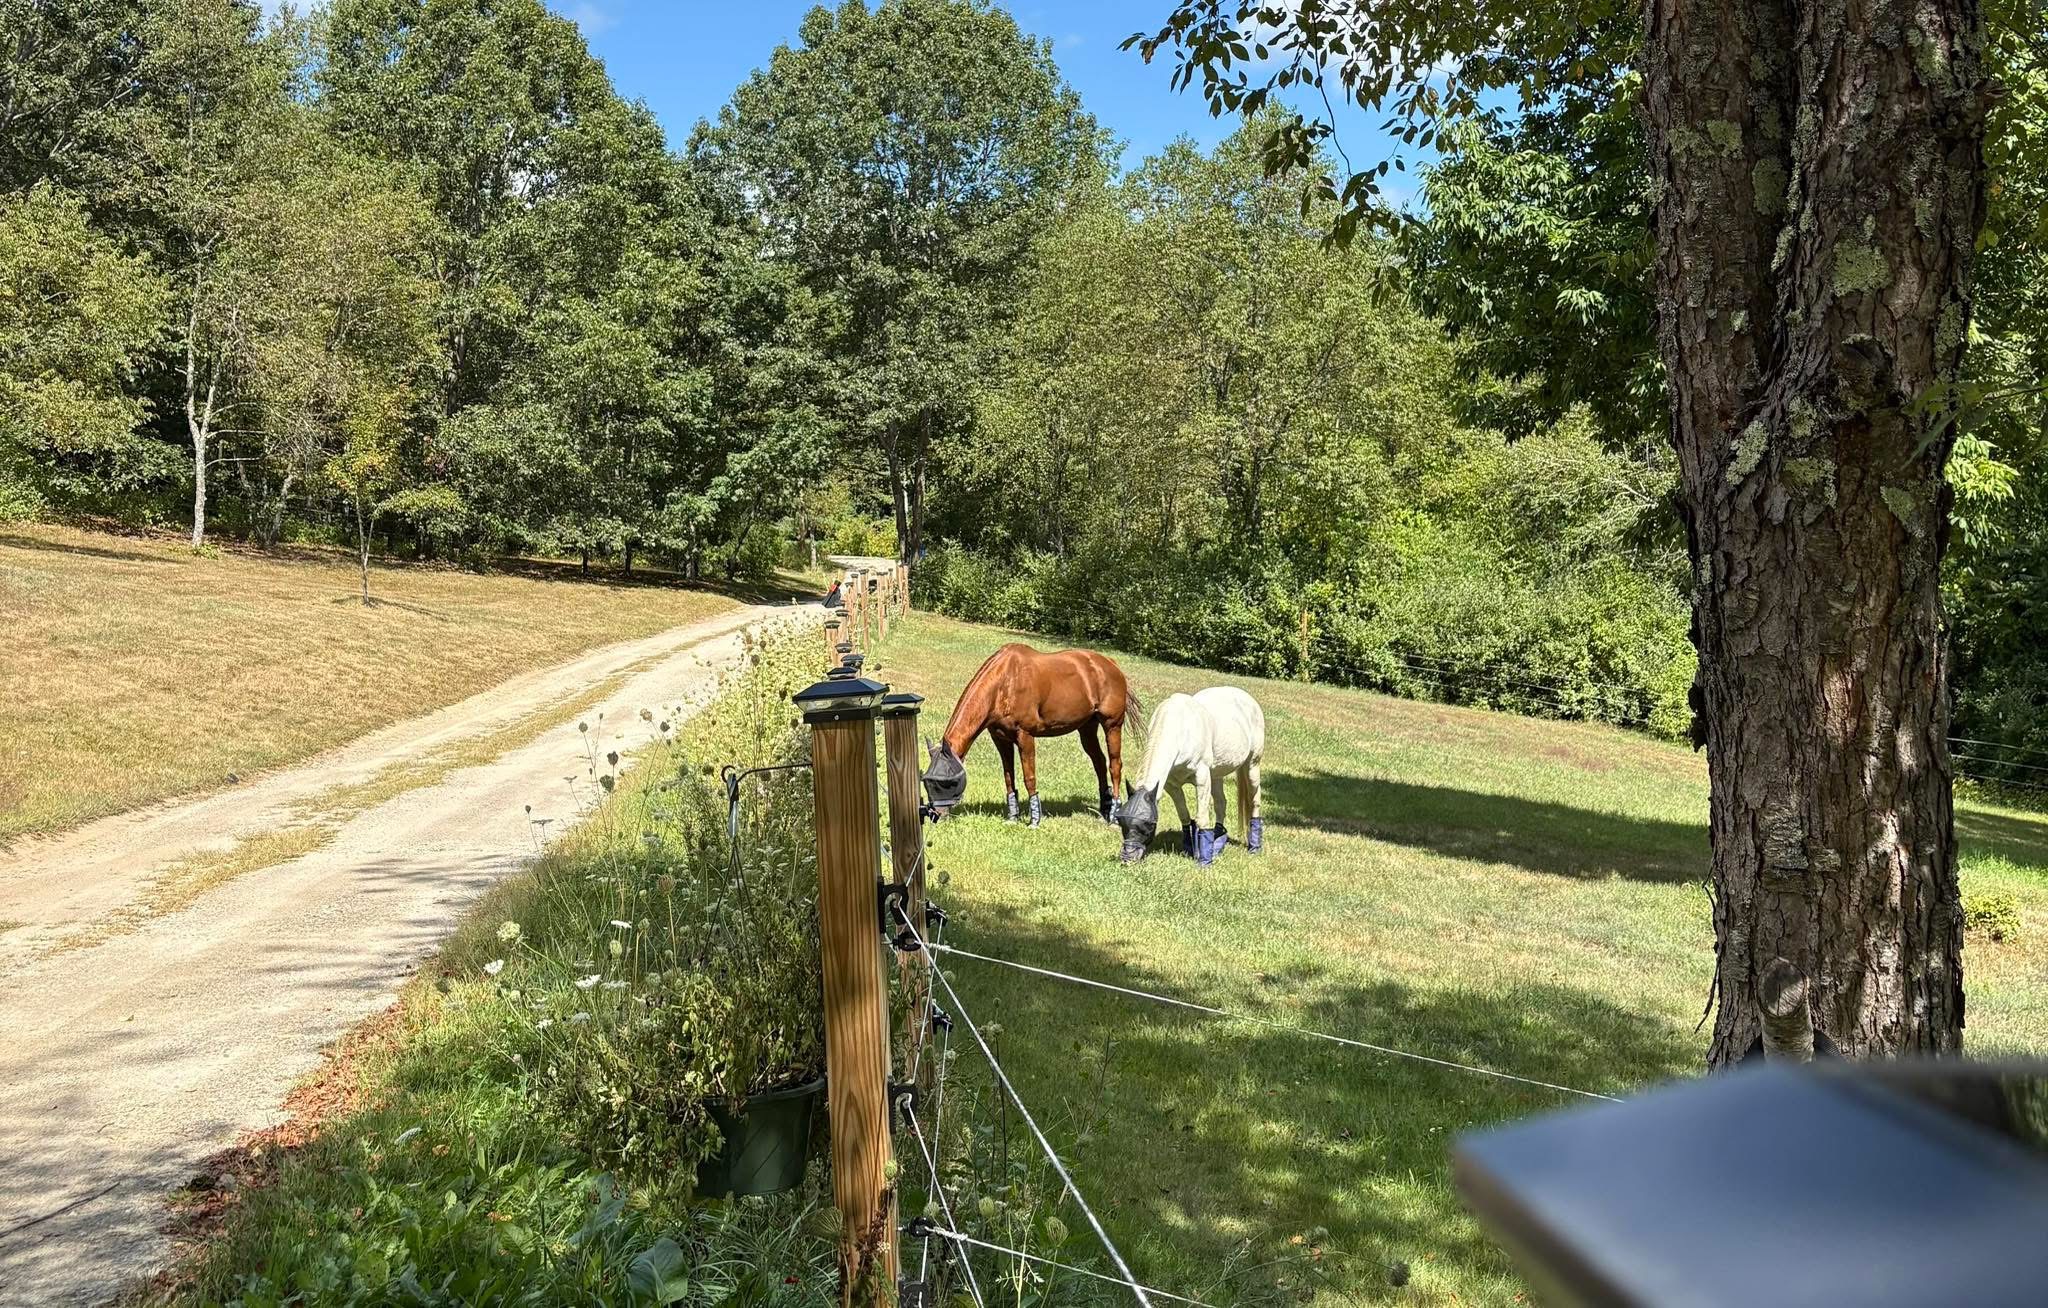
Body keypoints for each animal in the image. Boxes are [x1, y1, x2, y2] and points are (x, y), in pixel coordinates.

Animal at [921, 643, 1140, 827]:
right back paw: (1105, 808)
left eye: (949, 781)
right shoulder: (1001, 739)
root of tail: (1111, 664)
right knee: (1099, 762)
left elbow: (1029, 777)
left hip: (1112, 726)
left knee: (1114, 765)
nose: (935, 816)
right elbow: (1009, 778)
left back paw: (1113, 816)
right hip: (1087, 728)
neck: (1004, 683)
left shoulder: (1025, 736)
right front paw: (1012, 818)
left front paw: (1034, 821)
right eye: (927, 781)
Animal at [1115, 687, 1265, 865]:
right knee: (1221, 803)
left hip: (1252, 765)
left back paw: (1254, 847)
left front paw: (1204, 862)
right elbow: (1184, 815)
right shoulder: (1171, 785)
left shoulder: (1202, 777)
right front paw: (1191, 849)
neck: (1182, 730)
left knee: (1254, 800)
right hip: (1216, 774)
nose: (1128, 858)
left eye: (1149, 824)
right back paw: (1217, 843)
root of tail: (1248, 698)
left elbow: (1202, 818)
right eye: (1121, 821)